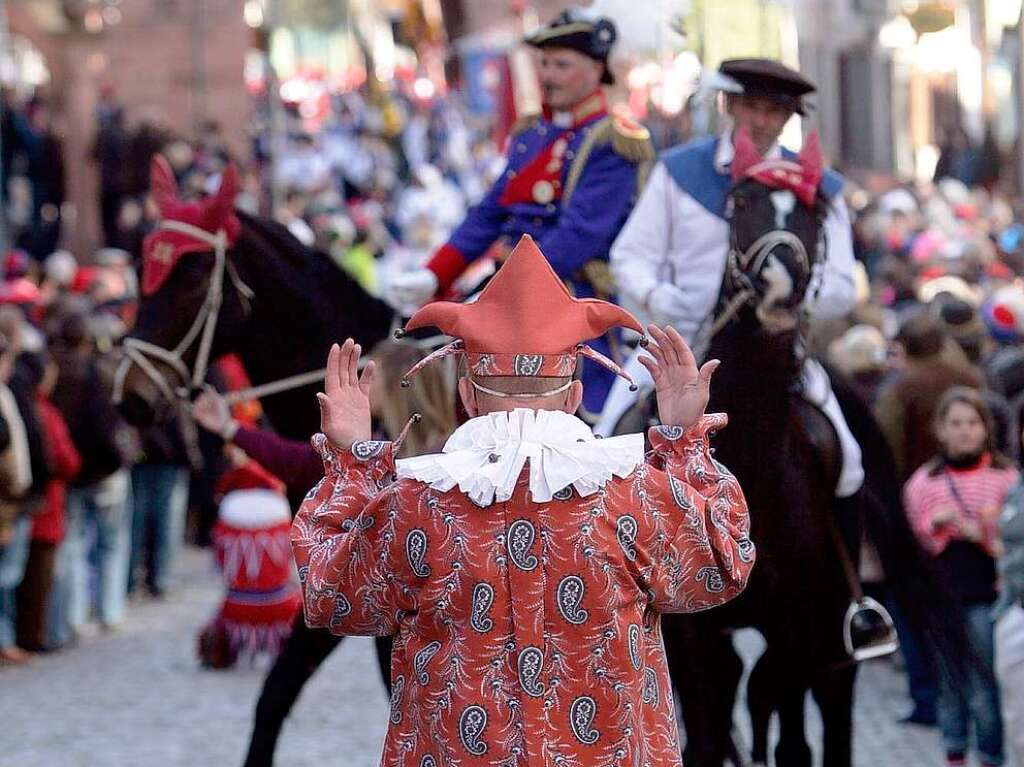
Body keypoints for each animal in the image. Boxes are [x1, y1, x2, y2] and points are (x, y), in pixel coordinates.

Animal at [610, 134, 954, 765]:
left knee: (820, 705)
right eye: (742, 202)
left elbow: (781, 713)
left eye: (815, 214)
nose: (779, 281)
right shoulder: (696, 634)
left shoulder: (795, 628)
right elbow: (711, 724)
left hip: (831, 641)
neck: (749, 462)